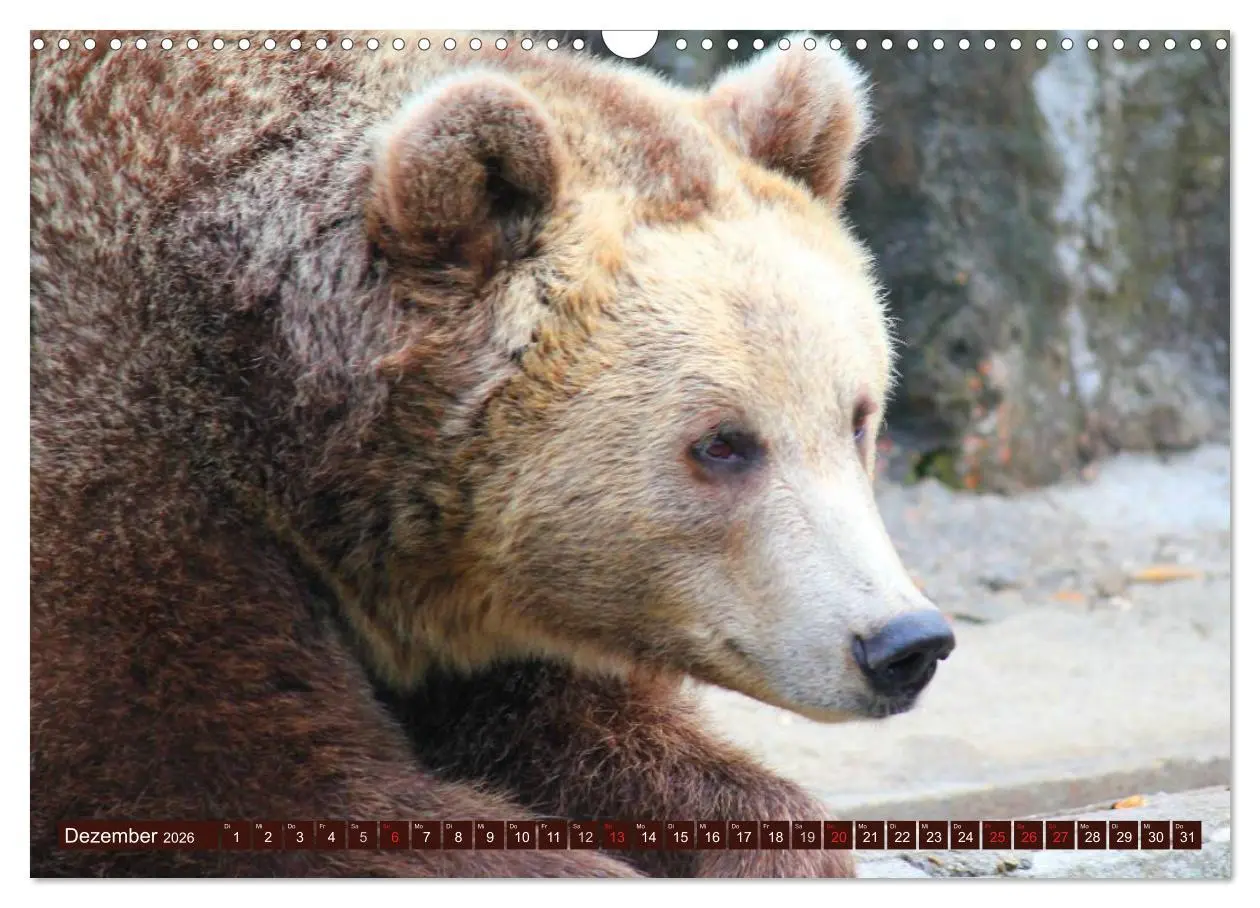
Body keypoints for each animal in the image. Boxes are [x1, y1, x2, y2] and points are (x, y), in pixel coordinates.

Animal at [30, 30, 955, 877]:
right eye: (723, 443)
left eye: (857, 416)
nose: (904, 642)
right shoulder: (119, 457)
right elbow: (228, 782)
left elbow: (576, 733)